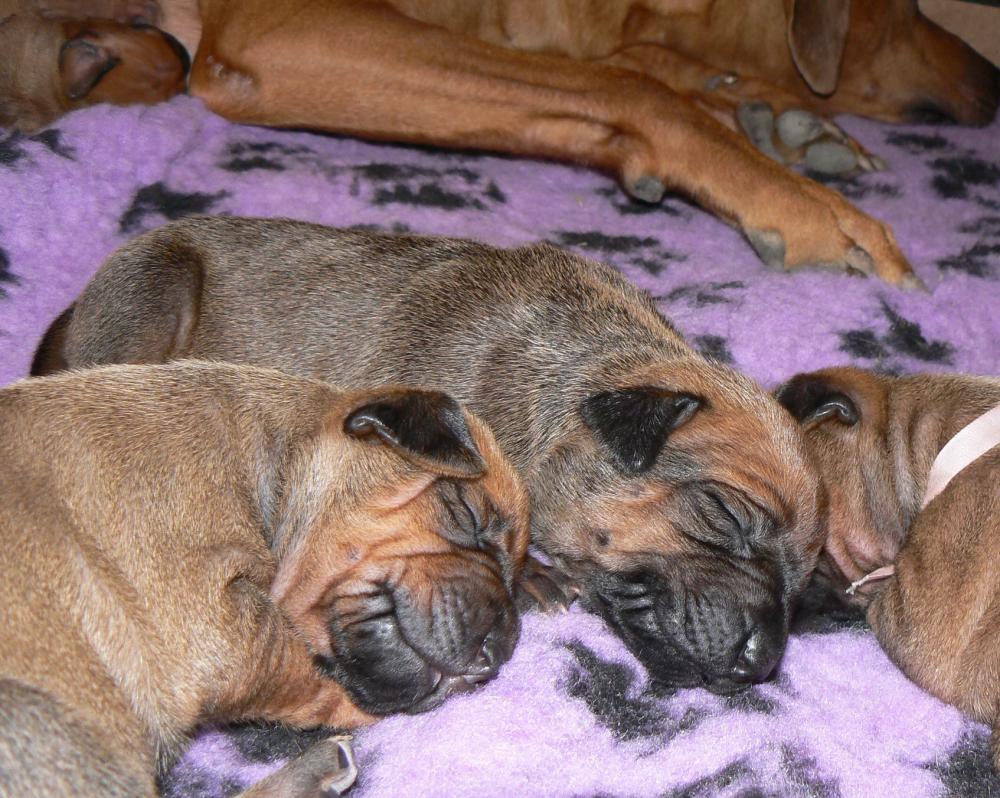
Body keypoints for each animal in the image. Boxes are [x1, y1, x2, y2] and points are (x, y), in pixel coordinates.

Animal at [4, 0, 999, 286]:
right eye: (912, 3)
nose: (995, 78)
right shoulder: (277, 31)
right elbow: (627, 83)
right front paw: (802, 202)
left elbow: (639, 71)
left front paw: (781, 123)